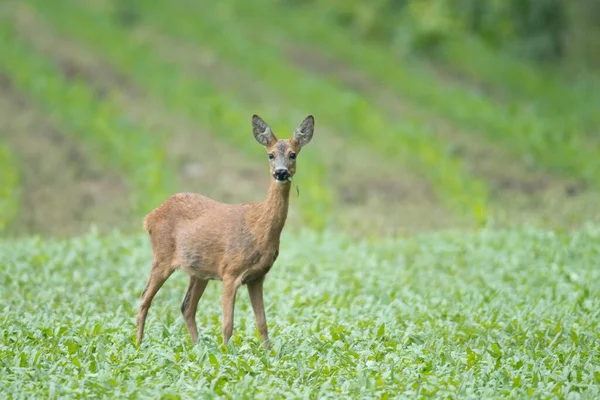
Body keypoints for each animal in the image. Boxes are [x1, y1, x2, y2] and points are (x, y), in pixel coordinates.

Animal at [135, 114, 314, 348]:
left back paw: (197, 346)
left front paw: (268, 353)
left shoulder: (257, 276)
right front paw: (226, 353)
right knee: (144, 299)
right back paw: (138, 345)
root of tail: (149, 217)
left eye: (293, 154)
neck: (259, 229)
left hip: (198, 269)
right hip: (162, 256)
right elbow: (228, 324)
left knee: (186, 306)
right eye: (271, 155)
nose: (281, 172)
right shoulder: (230, 271)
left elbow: (262, 323)